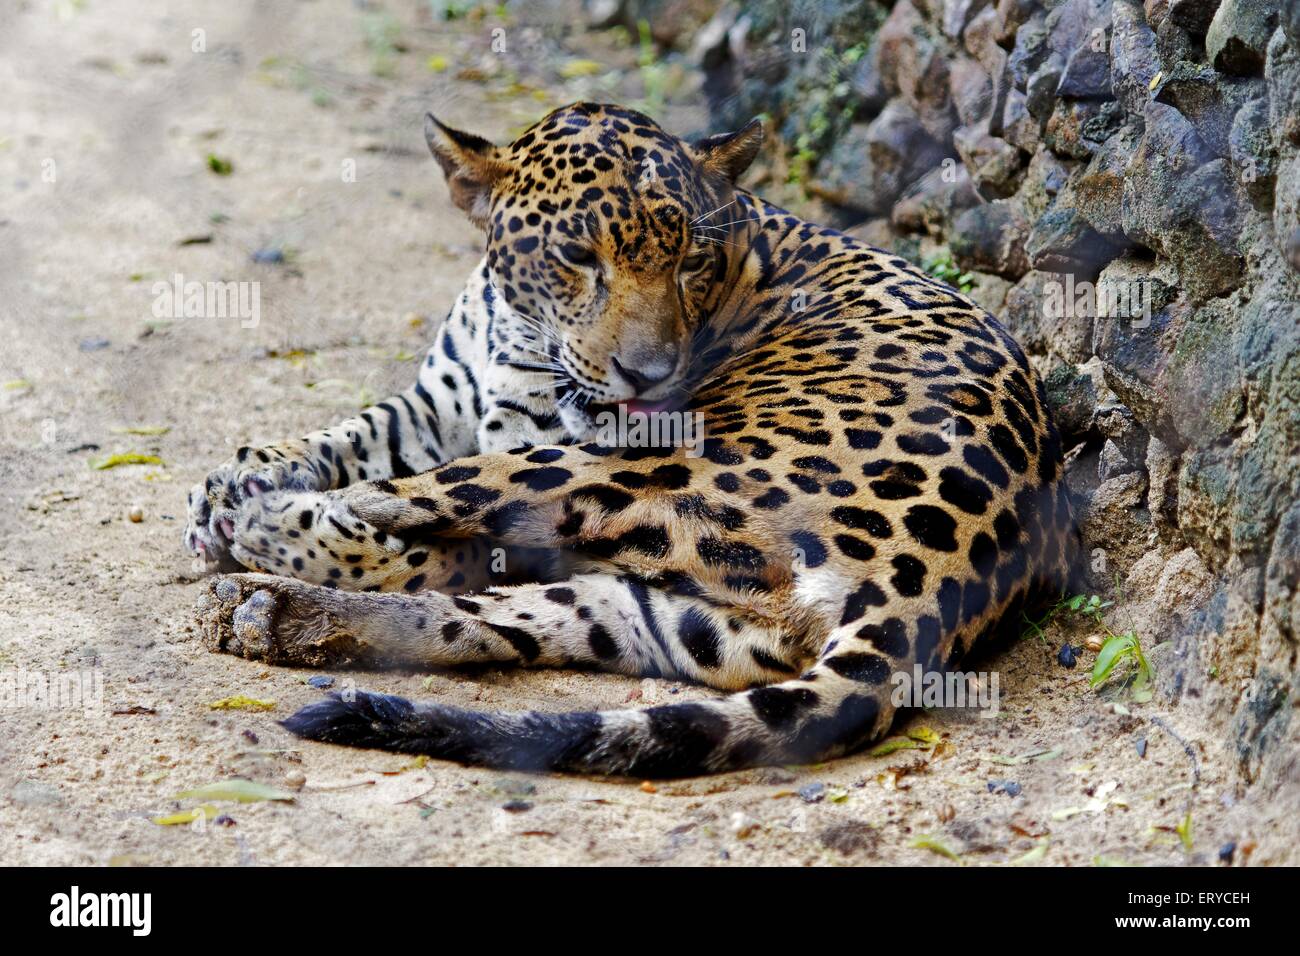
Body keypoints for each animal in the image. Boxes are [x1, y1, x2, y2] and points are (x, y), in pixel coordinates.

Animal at [185, 102, 1076, 780]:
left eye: (692, 262)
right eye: (578, 256)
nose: (649, 374)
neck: (515, 334)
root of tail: (932, 581)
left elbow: (399, 503)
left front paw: (250, 504)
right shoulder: (434, 402)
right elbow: (354, 431)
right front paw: (242, 474)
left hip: (637, 465)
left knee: (436, 525)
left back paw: (267, 542)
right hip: (671, 618)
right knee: (485, 617)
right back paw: (274, 612)